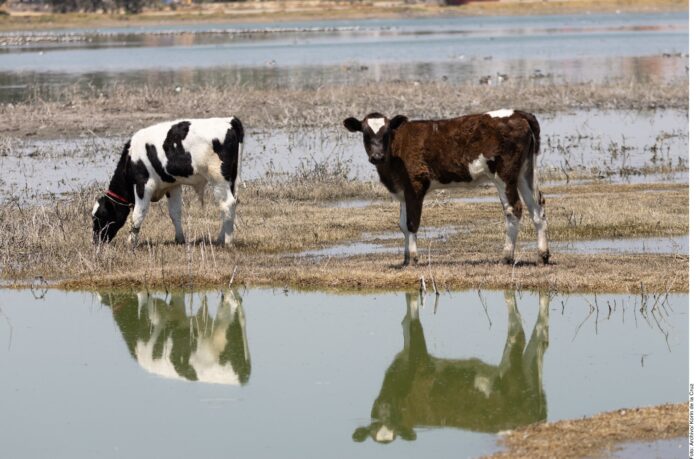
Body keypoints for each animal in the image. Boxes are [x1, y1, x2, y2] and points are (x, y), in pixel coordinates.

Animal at [92, 118, 245, 248]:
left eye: (100, 217)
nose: (95, 242)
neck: (131, 158)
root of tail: (230, 120)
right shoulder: (173, 185)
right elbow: (175, 212)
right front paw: (180, 239)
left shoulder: (143, 185)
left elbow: (138, 214)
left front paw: (130, 243)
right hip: (231, 179)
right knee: (229, 206)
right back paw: (220, 238)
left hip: (218, 178)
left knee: (227, 204)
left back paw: (227, 242)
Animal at [98, 292, 250, 384]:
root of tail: (242, 376)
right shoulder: (176, 312)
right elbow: (178, 298)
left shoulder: (154, 314)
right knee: (241, 313)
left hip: (223, 326)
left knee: (231, 304)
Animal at [342, 110, 548, 266]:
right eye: (365, 133)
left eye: (386, 133)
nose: (377, 156)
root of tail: (518, 113)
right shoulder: (403, 191)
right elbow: (402, 225)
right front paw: (406, 259)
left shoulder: (415, 185)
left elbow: (412, 223)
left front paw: (414, 259)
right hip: (525, 172)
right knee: (537, 208)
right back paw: (543, 255)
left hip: (504, 175)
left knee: (514, 209)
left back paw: (507, 257)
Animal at [354, 292, 548, 444]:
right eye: (375, 423)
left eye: (394, 417)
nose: (385, 407)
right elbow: (405, 322)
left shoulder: (420, 359)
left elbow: (413, 321)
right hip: (528, 374)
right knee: (542, 336)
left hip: (511, 374)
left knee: (517, 332)